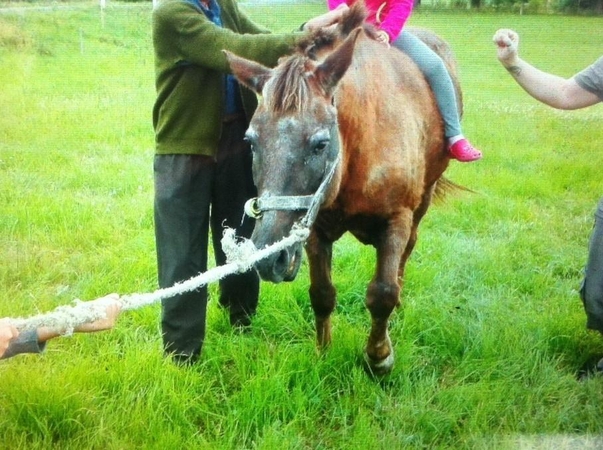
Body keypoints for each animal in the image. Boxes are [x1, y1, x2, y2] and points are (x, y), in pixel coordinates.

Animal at [228, 6, 462, 372]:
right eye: (251, 141)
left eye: (320, 143)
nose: (269, 256)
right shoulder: (314, 227)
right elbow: (322, 294)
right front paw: (323, 352)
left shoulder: (396, 219)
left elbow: (383, 293)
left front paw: (379, 357)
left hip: (423, 198)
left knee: (407, 253)